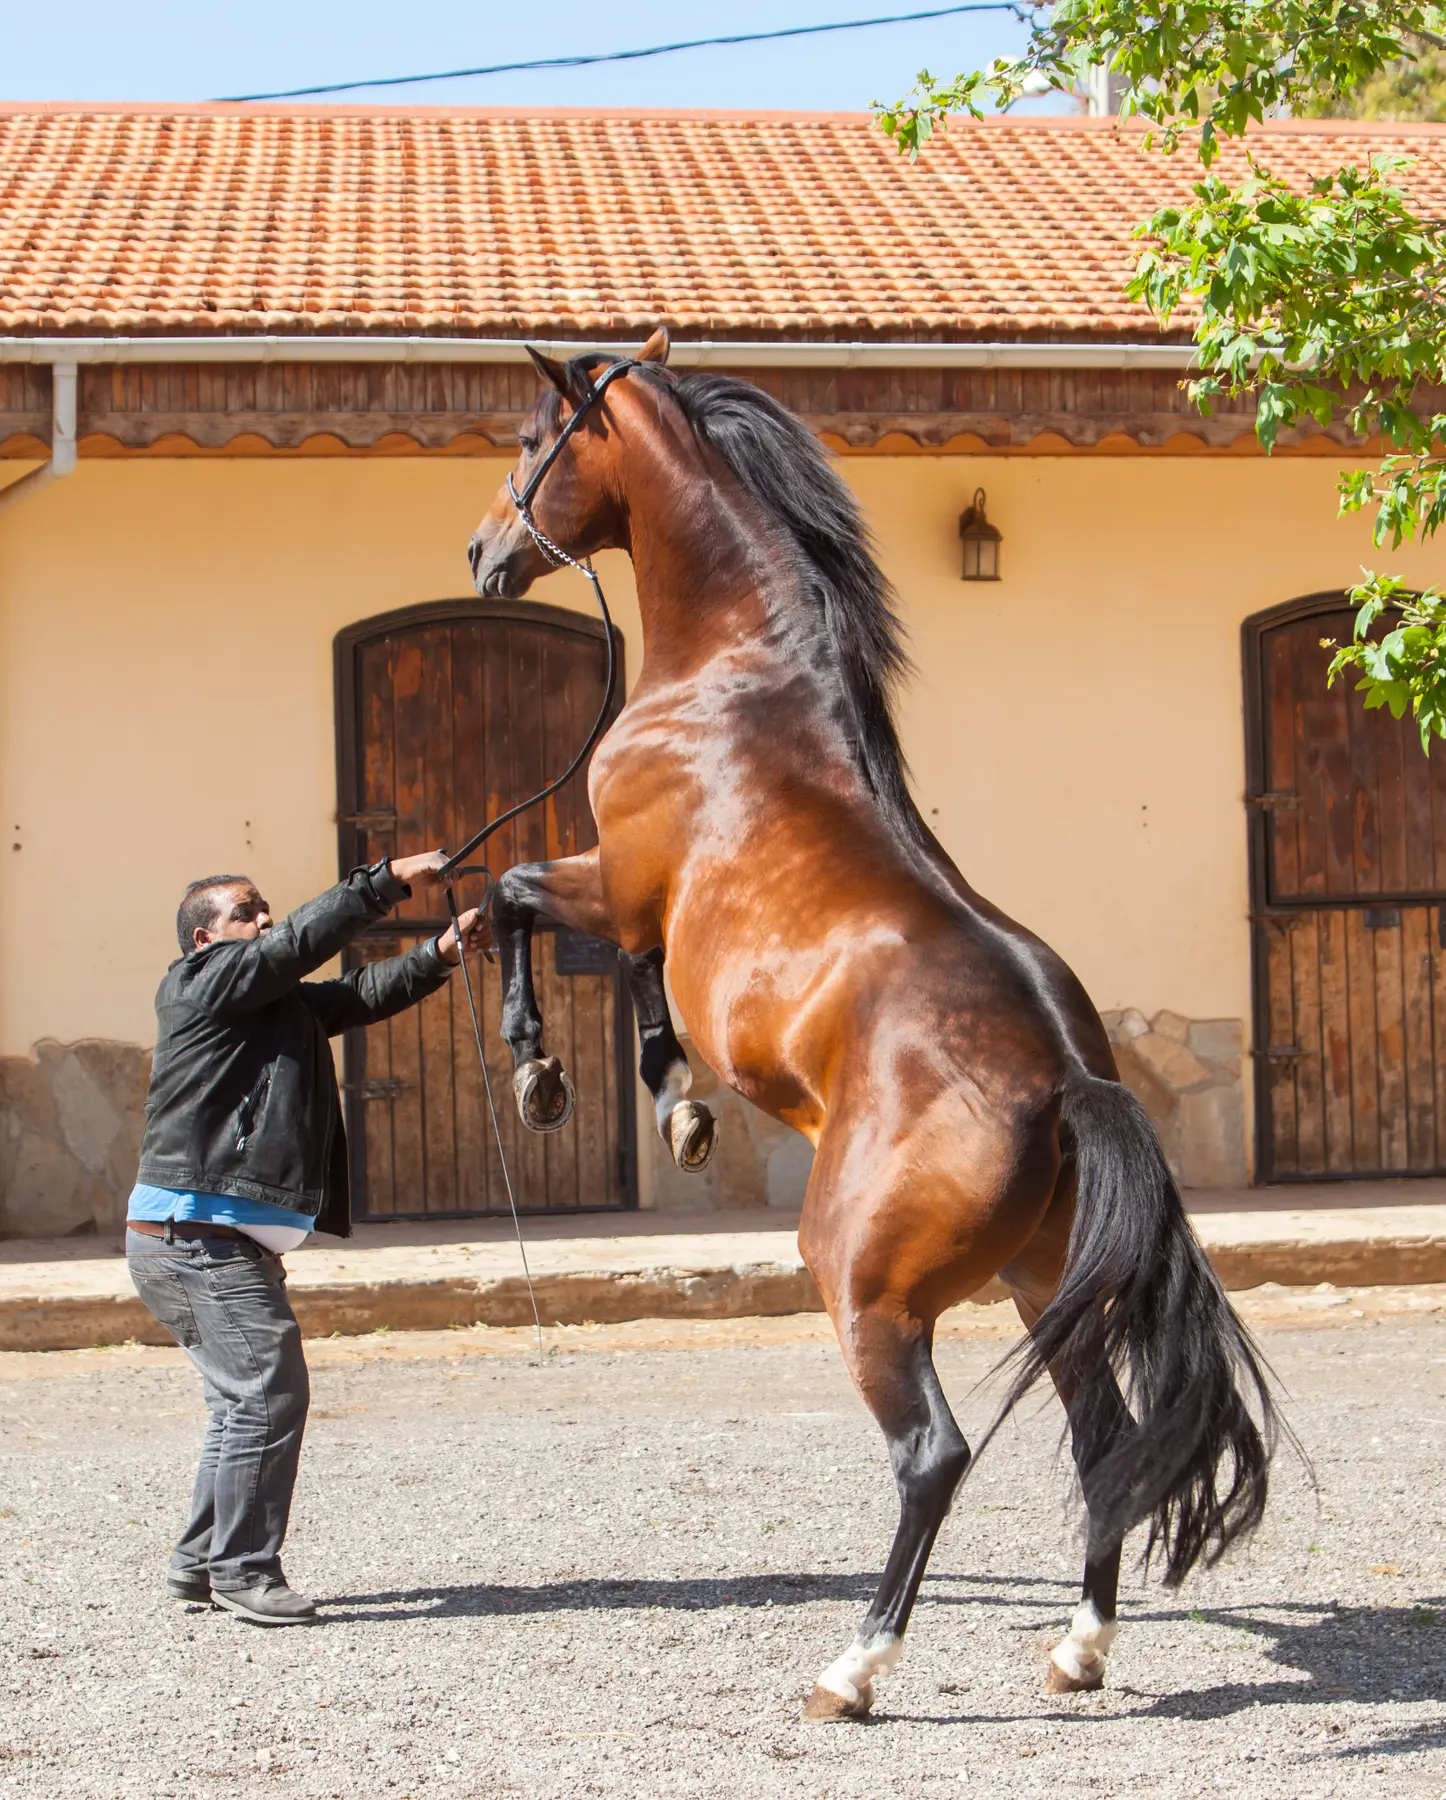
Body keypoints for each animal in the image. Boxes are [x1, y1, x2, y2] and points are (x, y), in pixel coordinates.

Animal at [465, 327, 1276, 1721]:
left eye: (531, 441)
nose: (481, 552)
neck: (736, 671)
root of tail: (1069, 1082)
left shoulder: (617, 883)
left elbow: (515, 900)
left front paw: (554, 1076)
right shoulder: (639, 909)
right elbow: (606, 963)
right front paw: (677, 1107)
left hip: (870, 1290)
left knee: (934, 1455)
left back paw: (854, 1668)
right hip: (1040, 1281)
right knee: (1105, 1437)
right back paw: (1077, 1649)